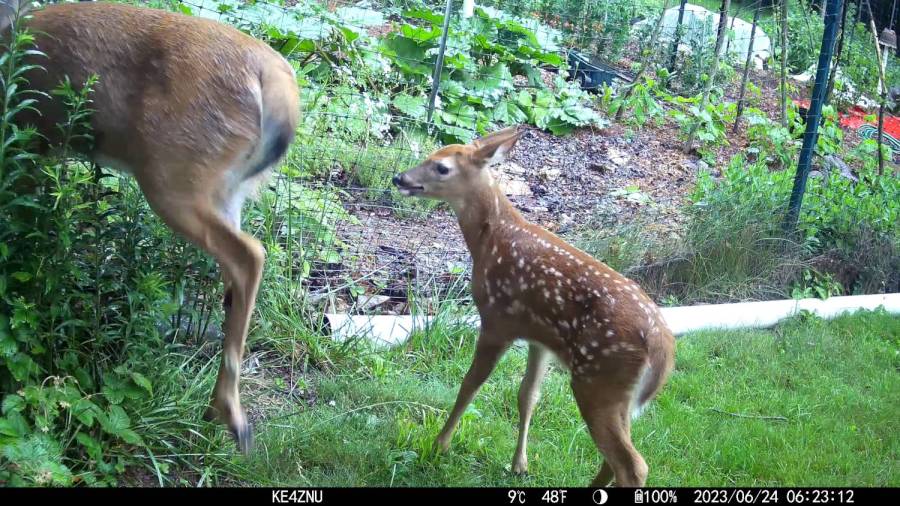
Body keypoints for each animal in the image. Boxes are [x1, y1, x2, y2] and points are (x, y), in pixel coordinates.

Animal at [1, 1, 300, 452]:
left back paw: (230, 414)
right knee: (235, 276)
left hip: (173, 175)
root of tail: (276, 80)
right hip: (227, 190)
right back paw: (217, 410)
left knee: (250, 254)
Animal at [392, 126, 676, 486]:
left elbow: (471, 384)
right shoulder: (540, 338)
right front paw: (519, 465)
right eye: (429, 155)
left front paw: (439, 444)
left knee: (631, 463)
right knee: (615, 456)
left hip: (598, 378)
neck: (491, 239)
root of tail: (662, 346)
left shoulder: (496, 320)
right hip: (618, 391)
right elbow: (527, 396)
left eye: (442, 167)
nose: (399, 178)